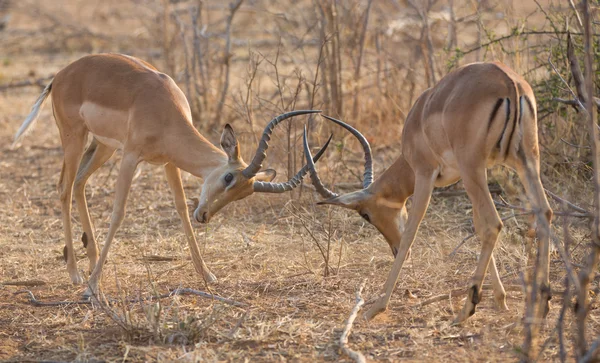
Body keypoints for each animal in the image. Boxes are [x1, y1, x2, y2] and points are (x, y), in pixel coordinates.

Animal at [12, 53, 332, 298]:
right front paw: (92, 288)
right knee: (64, 187)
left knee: (79, 183)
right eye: (229, 178)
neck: (163, 107)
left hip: (103, 146)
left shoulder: (169, 162)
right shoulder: (131, 157)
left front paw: (208, 274)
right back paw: (77, 274)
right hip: (75, 138)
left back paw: (89, 262)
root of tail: (59, 75)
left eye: (243, 194)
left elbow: (180, 208)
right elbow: (118, 213)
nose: (205, 216)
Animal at [308, 61, 552, 324]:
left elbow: (411, 233)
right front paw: (501, 299)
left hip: (473, 166)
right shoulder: (475, 173)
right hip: (524, 161)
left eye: (366, 215)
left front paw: (377, 307)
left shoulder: (425, 174)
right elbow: (476, 225)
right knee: (544, 212)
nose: (393, 249)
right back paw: (542, 304)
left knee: (494, 224)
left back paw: (466, 310)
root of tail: (509, 82)